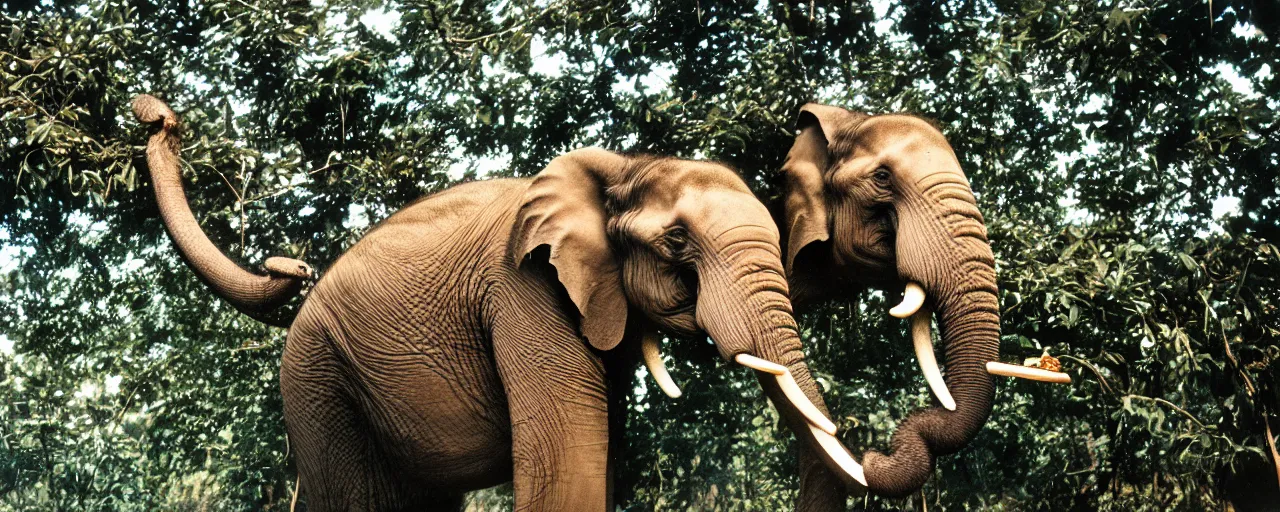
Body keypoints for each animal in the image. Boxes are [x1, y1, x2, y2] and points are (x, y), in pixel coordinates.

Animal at [135, 94, 865, 512]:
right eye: (677, 242)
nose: (157, 116)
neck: (622, 166)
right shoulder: (521, 292)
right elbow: (567, 458)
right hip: (316, 375)